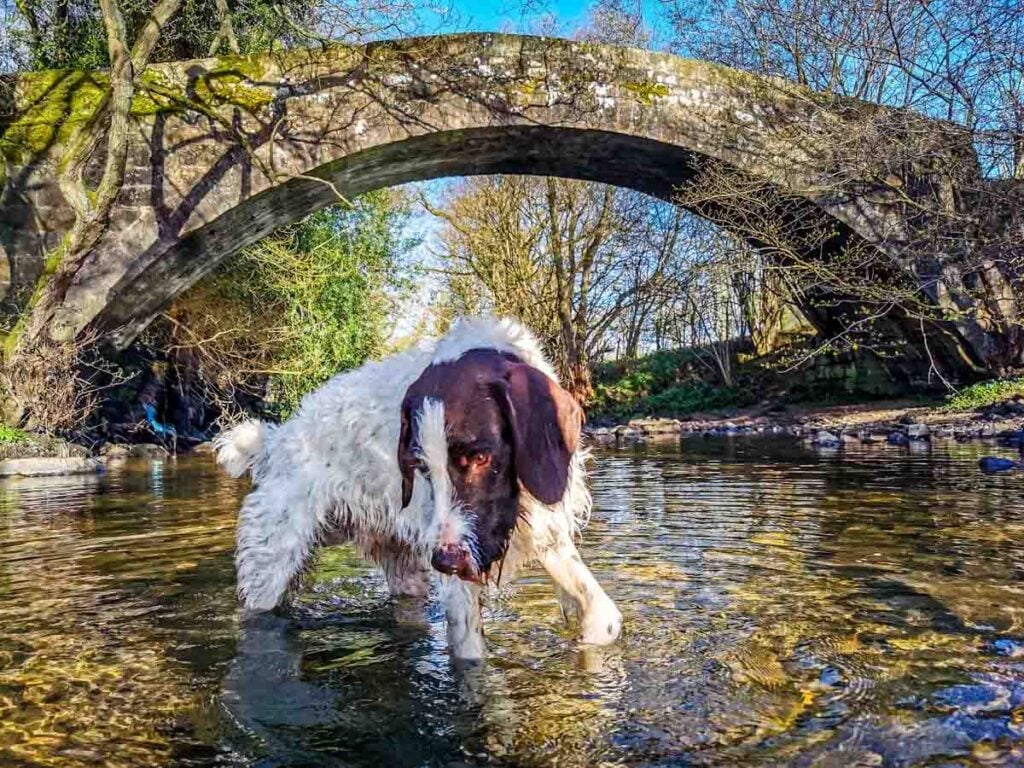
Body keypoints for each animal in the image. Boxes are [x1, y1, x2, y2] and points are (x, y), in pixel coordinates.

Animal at [211, 317, 618, 663]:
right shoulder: (460, 580)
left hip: (404, 569)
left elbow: (605, 617)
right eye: (420, 467)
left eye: (479, 457)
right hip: (269, 570)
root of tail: (273, 442)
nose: (446, 562)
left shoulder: (545, 535)